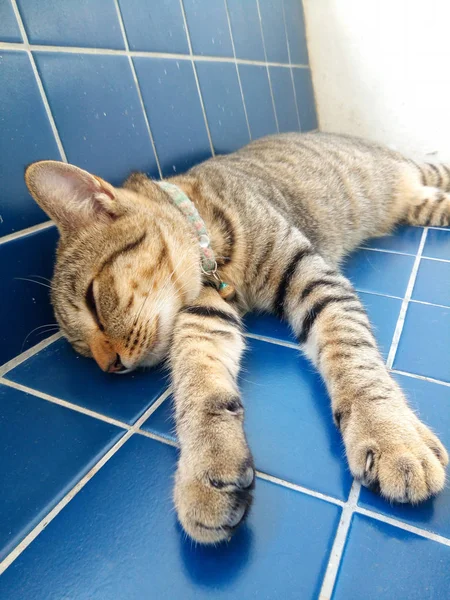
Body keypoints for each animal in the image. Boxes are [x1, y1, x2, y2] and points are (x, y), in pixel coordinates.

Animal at [26, 132, 448, 544]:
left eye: (93, 301)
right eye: (82, 350)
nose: (109, 366)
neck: (215, 258)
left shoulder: (314, 279)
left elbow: (354, 359)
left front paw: (390, 435)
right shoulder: (203, 319)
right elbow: (198, 389)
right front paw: (205, 464)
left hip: (415, 171)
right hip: (423, 205)